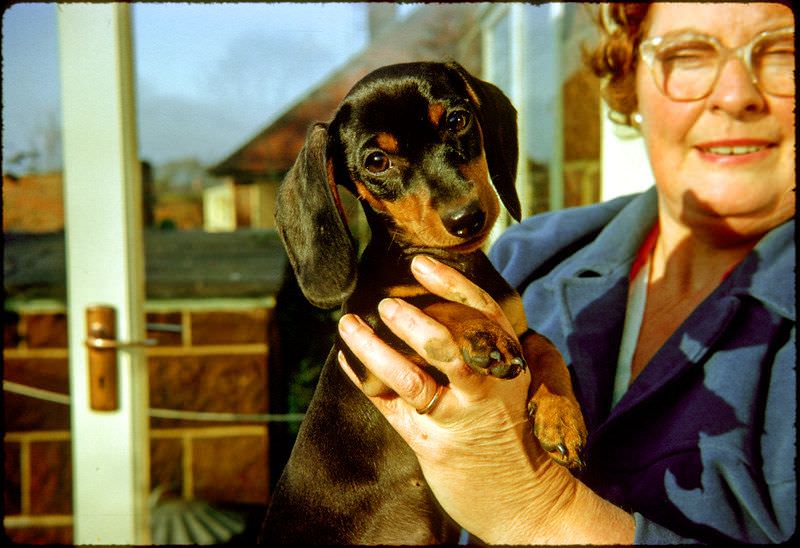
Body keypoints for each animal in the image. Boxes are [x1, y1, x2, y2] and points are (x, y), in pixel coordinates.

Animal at [264, 63, 588, 544]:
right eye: (376, 161)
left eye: (457, 120)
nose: (466, 218)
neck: (450, 263)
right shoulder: (364, 347)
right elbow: (424, 303)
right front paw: (481, 332)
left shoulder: (521, 327)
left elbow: (547, 348)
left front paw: (561, 416)